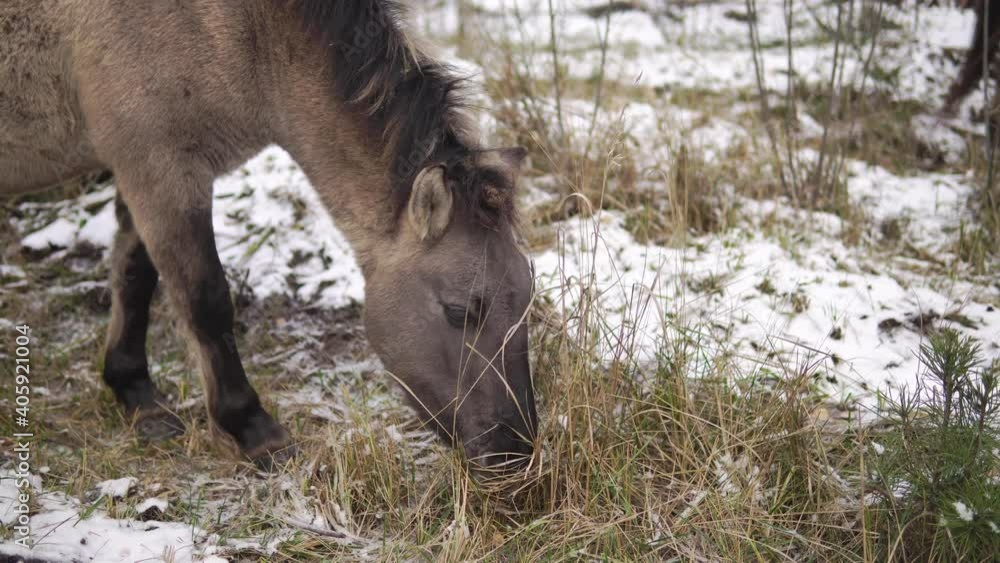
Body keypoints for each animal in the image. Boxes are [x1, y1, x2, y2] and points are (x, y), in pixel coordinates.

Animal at [0, 0, 538, 472]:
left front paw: (135, 392)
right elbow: (206, 303)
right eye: (459, 311)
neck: (239, 30)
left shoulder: (147, 180)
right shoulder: (161, 172)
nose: (515, 453)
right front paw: (253, 429)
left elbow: (135, 277)